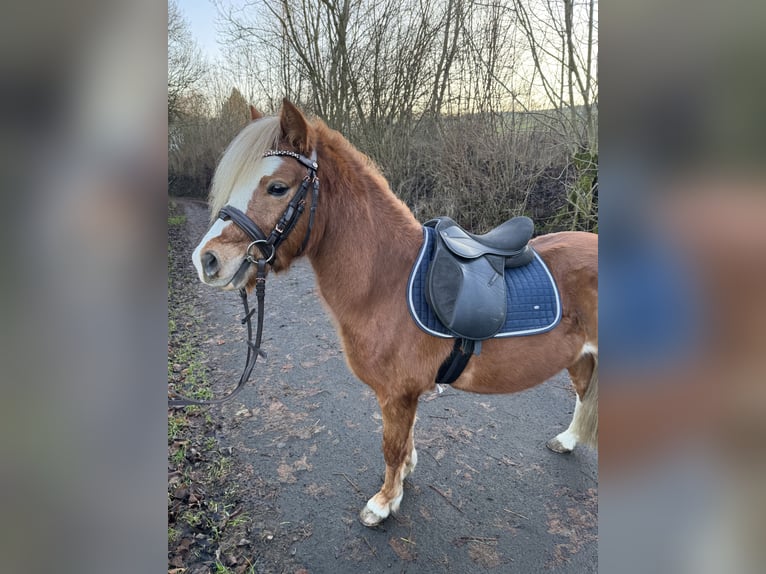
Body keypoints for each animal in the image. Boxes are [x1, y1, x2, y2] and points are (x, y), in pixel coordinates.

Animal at [192, 101, 600, 528]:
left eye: (277, 187)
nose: (207, 260)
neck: (386, 281)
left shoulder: (395, 394)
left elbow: (391, 445)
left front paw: (384, 503)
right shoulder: (407, 395)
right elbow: (405, 442)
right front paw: (404, 475)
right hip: (580, 357)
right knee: (583, 393)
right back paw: (568, 440)